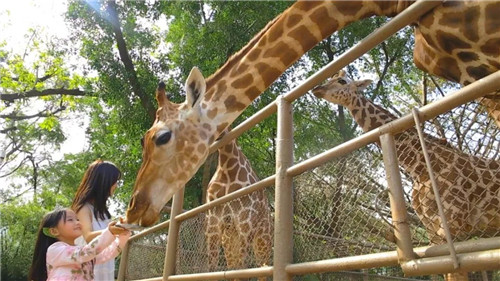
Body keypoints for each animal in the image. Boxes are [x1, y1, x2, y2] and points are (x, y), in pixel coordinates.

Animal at [204, 128, 272, 278]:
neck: (227, 169)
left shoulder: (245, 219)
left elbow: (242, 268)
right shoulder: (214, 219)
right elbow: (212, 267)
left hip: (262, 239)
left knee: (262, 268)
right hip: (229, 239)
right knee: (233, 266)